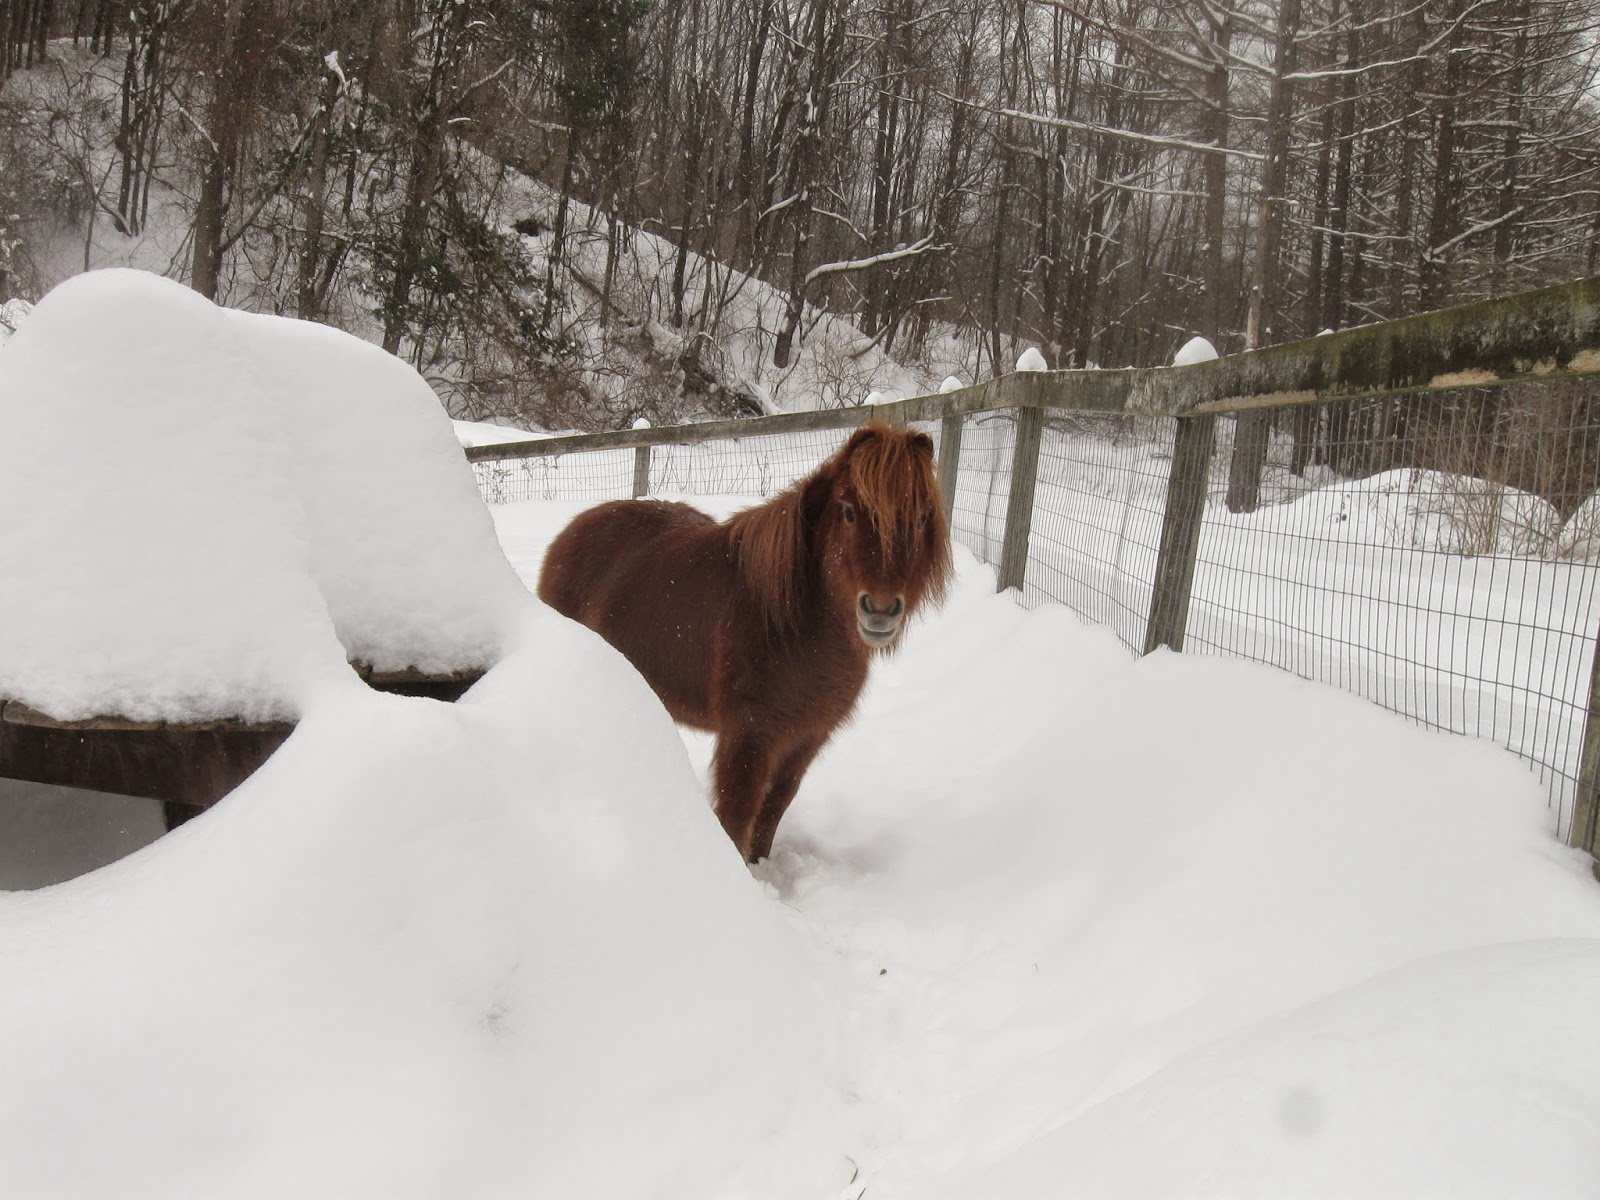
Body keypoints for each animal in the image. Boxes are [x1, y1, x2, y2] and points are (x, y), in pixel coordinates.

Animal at [537, 421, 953, 862]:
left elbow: (773, 809)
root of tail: (572, 531)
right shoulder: (749, 735)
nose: (880, 610)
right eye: (849, 512)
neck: (796, 623)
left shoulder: (806, 738)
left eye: (923, 519)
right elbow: (738, 814)